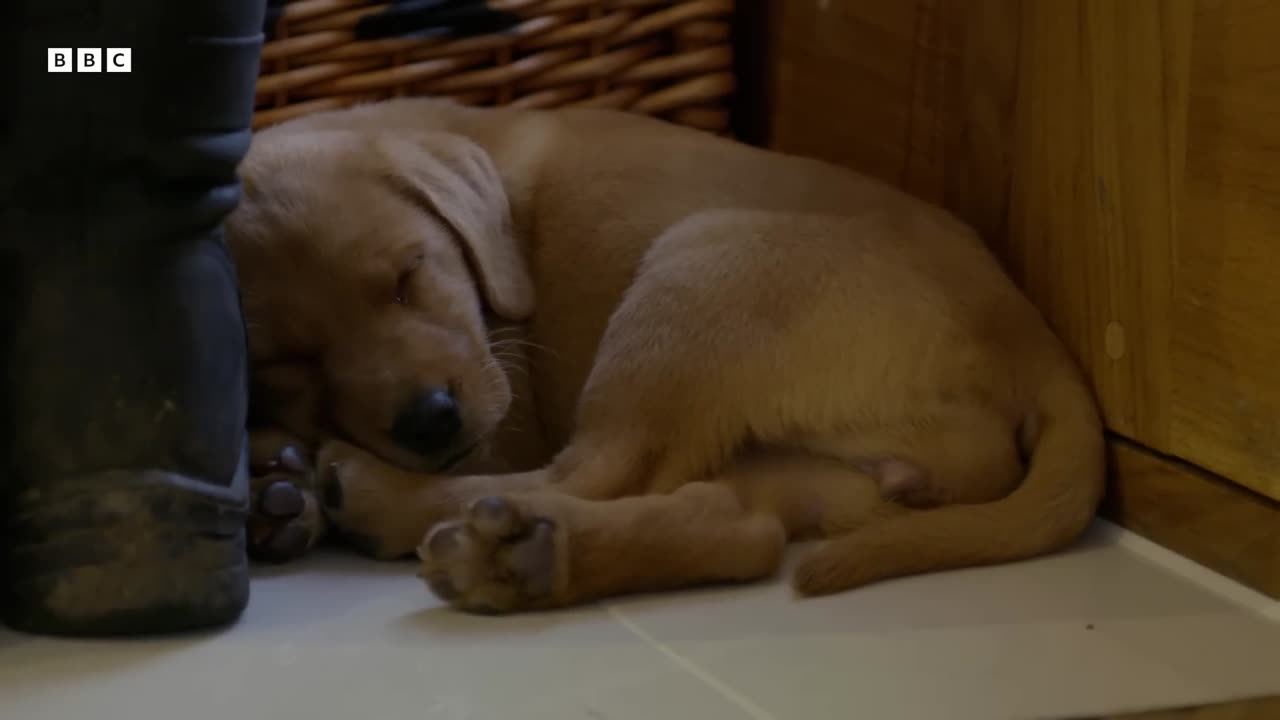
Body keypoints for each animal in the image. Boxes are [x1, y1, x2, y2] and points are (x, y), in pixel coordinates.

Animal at [225, 99, 1105, 609]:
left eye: (409, 276)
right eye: (288, 360)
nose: (430, 423)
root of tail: (1031, 335)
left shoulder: (503, 401)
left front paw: (297, 482)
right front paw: (268, 475)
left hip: (701, 269)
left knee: (590, 474)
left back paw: (397, 505)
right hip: (824, 471)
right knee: (739, 528)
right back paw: (528, 556)